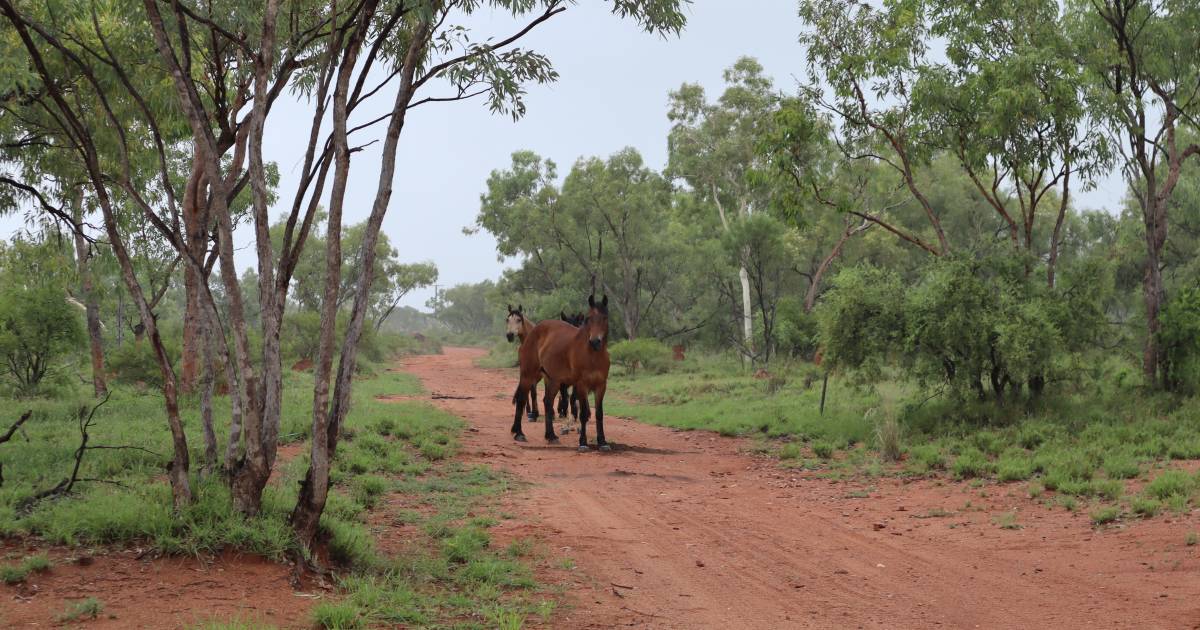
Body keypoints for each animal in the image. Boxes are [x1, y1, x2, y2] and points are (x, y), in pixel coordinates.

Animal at [513, 296, 614, 451]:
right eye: (589, 318)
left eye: (605, 318)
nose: (595, 341)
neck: (592, 355)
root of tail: (531, 334)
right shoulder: (581, 385)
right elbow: (582, 412)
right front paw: (583, 442)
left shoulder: (601, 386)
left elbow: (599, 413)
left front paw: (602, 442)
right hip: (527, 375)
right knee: (521, 400)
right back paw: (519, 434)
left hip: (552, 380)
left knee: (548, 402)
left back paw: (551, 436)